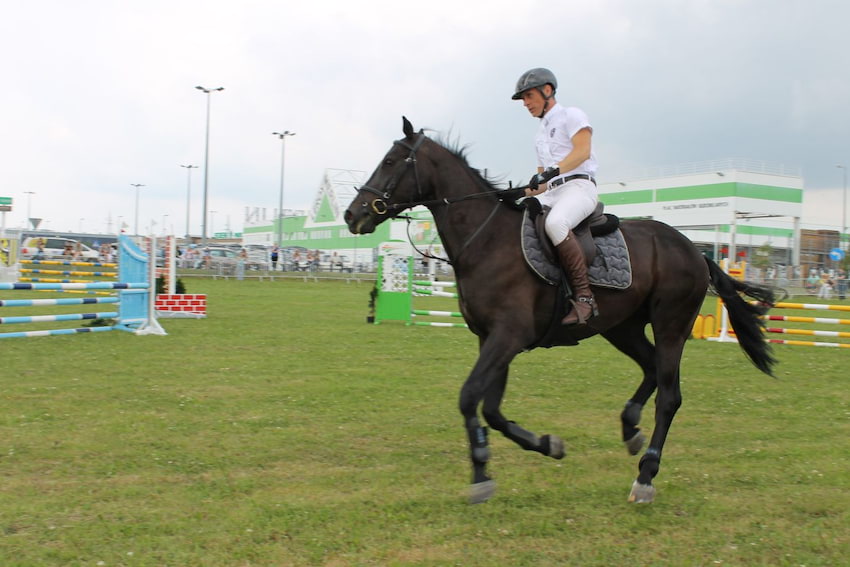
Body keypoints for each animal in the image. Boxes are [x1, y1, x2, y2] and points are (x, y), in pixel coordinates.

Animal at [342, 117, 772, 504]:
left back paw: (645, 476)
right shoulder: (492, 339)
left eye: (392, 161)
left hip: (671, 326)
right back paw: (630, 428)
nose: (352, 214)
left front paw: (481, 472)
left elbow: (468, 397)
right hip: (622, 328)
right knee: (650, 369)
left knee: (669, 396)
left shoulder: (507, 336)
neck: (486, 240)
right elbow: (491, 409)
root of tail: (693, 249)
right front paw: (541, 446)